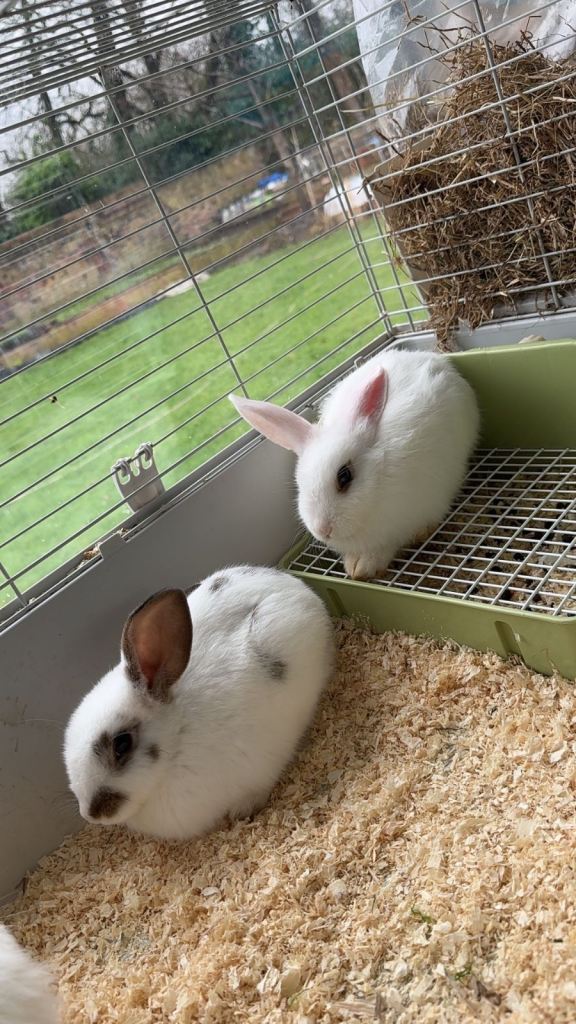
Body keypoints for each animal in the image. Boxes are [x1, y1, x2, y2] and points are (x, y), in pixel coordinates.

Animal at [230, 349, 479, 580]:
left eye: (344, 476)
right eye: (299, 484)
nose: (323, 529)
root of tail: (431, 355)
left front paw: (363, 568)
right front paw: (354, 567)